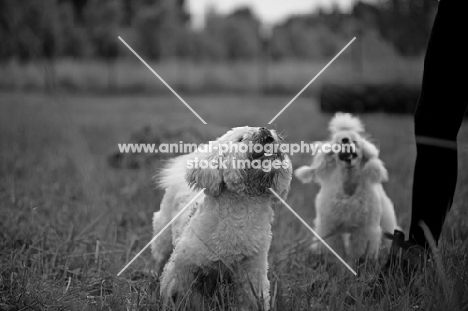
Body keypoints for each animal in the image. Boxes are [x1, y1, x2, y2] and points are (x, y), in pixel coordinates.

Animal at [153, 126, 292, 310]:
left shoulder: (253, 270)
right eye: (240, 139)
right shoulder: (182, 268)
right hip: (163, 238)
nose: (265, 129)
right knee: (160, 258)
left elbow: (252, 299)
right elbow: (181, 296)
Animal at [294, 113, 396, 262]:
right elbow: (334, 249)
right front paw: (336, 263)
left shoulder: (365, 228)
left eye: (355, 141)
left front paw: (358, 263)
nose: (345, 140)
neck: (348, 186)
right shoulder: (330, 227)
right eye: (337, 143)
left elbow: (360, 250)